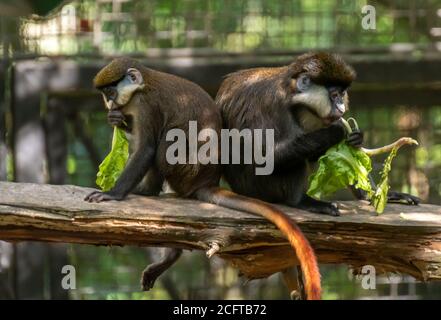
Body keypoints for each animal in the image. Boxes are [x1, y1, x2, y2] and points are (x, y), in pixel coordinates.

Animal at [84, 57, 322, 300]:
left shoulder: (145, 105)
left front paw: (112, 194)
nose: (109, 104)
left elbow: (146, 147)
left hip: (185, 169)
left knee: (165, 141)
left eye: (110, 92)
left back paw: (147, 190)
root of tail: (207, 181)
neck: (141, 86)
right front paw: (116, 119)